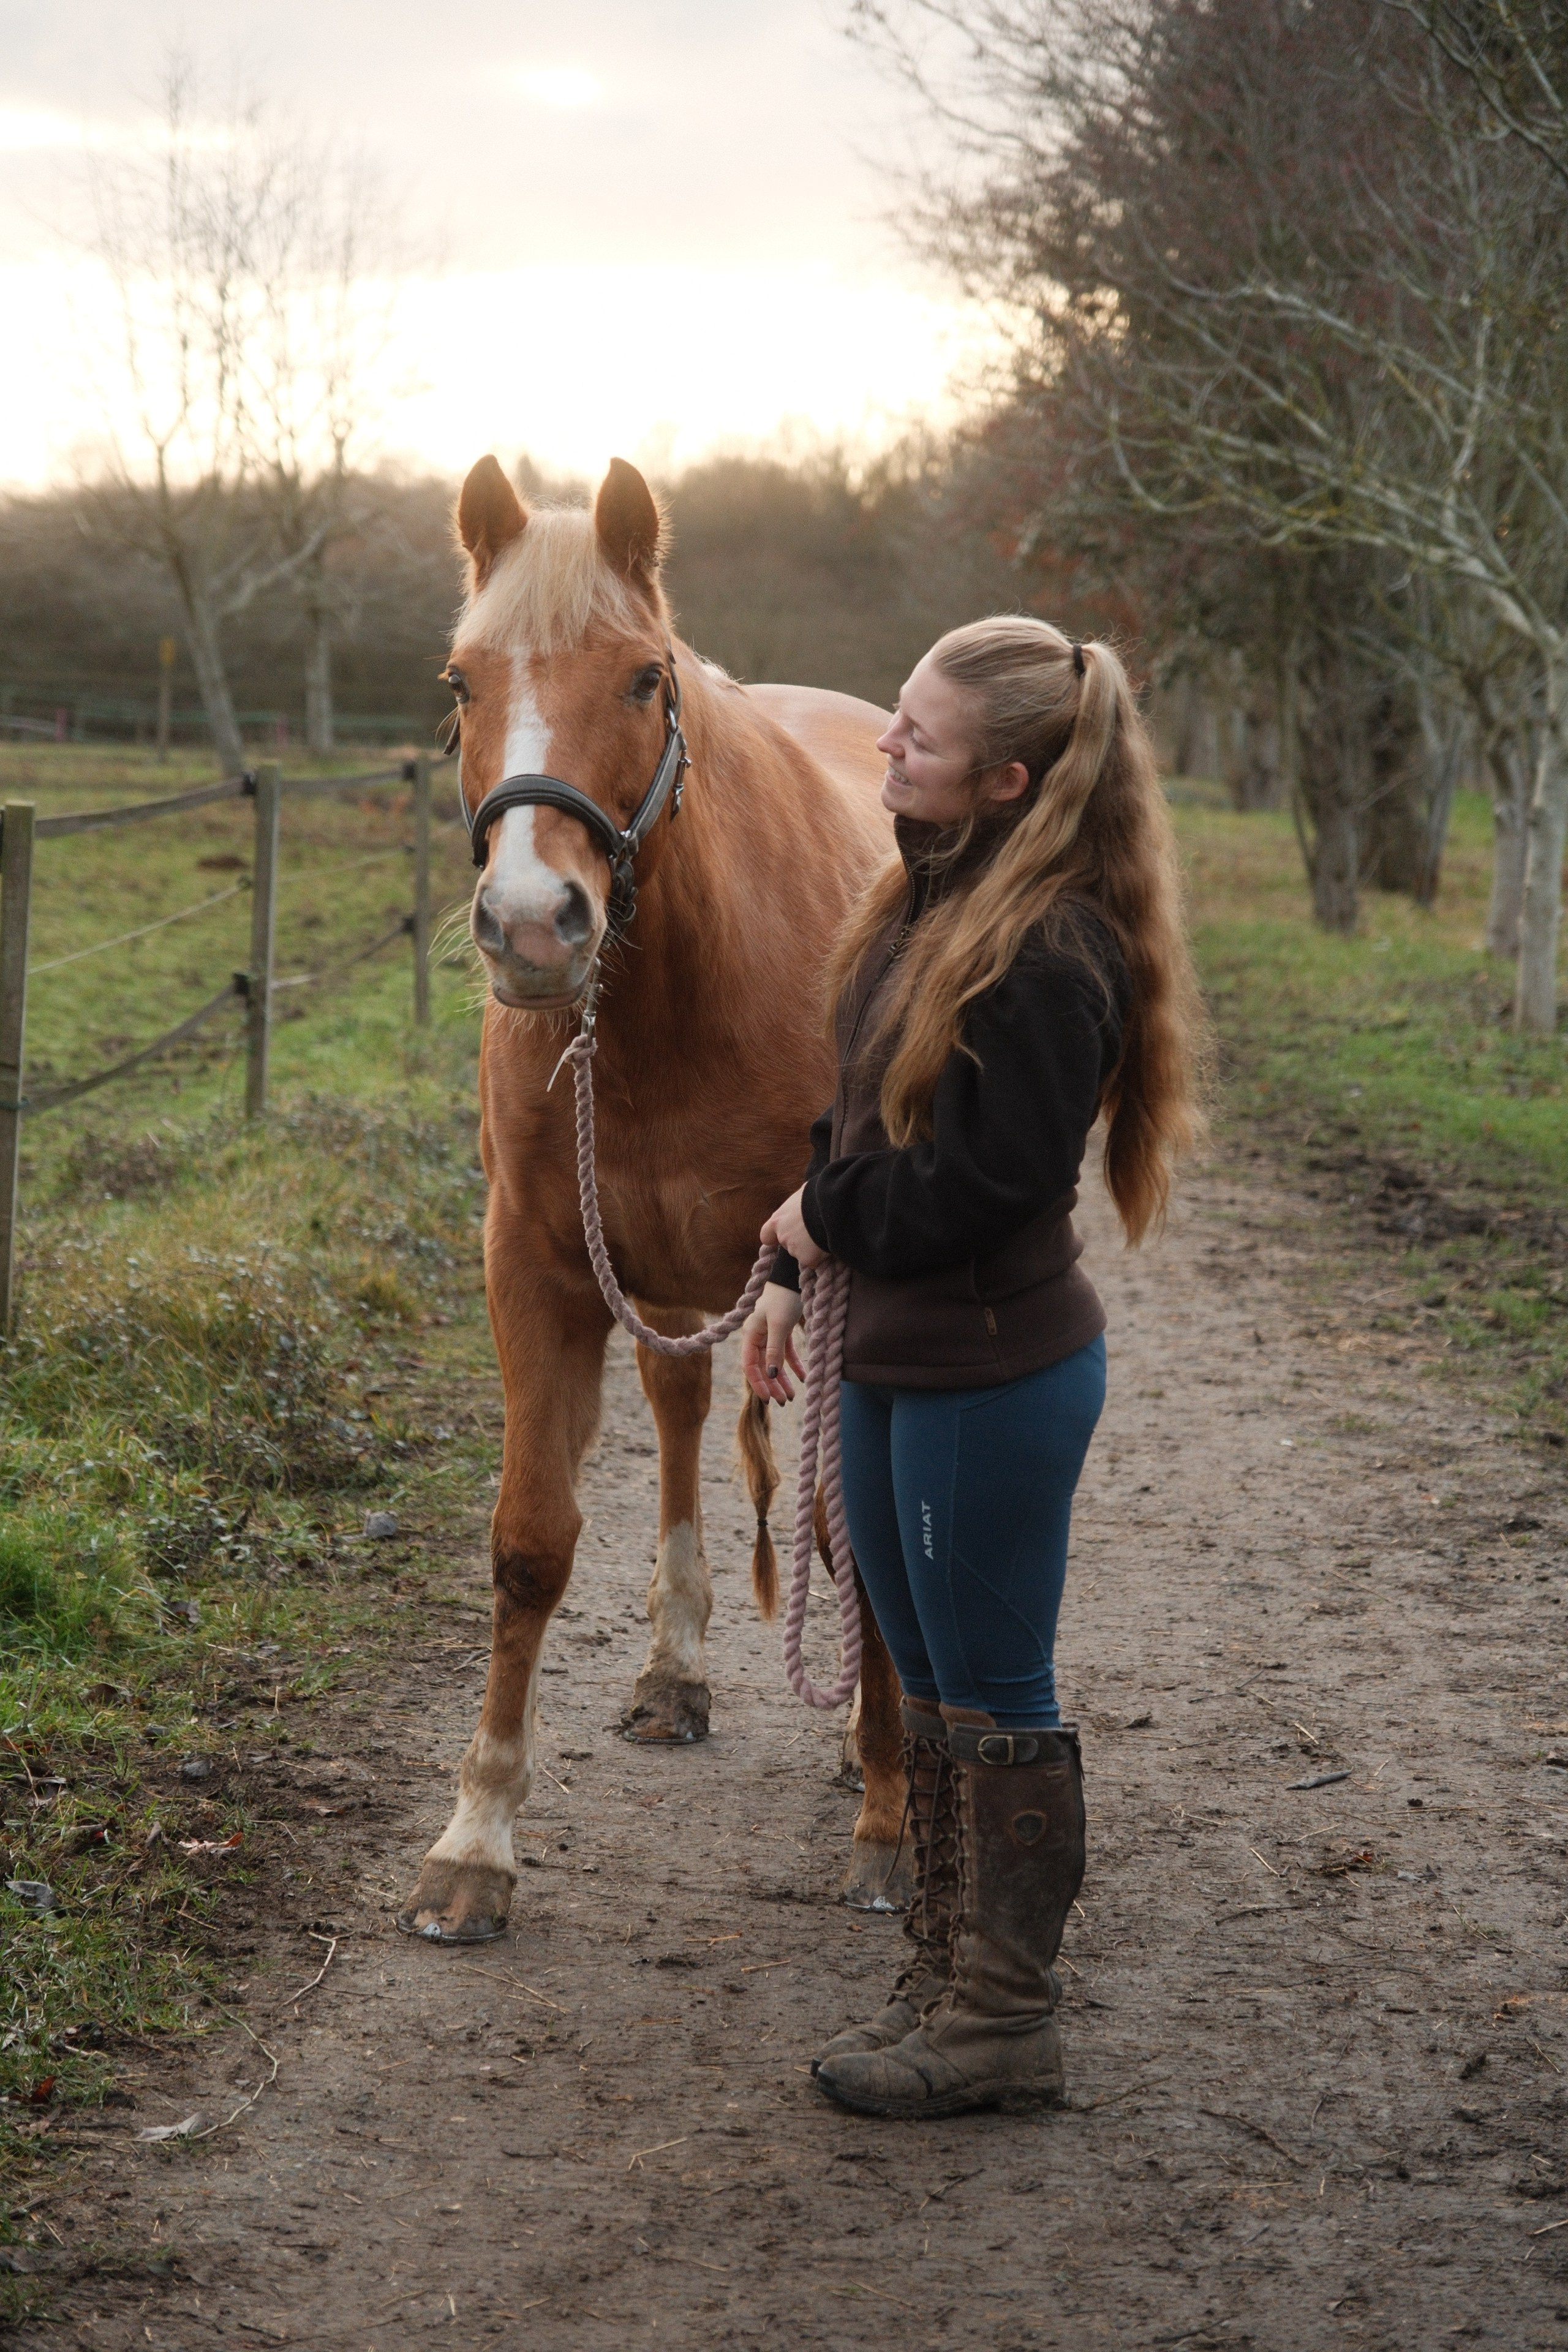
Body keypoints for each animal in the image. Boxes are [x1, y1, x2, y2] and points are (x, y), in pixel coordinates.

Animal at [396, 453, 911, 1944]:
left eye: (640, 678)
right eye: (460, 682)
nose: (530, 926)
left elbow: (854, 1528)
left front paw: (888, 1818)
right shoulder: (538, 1266)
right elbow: (529, 1544)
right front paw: (477, 1839)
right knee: (684, 1416)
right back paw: (674, 1670)